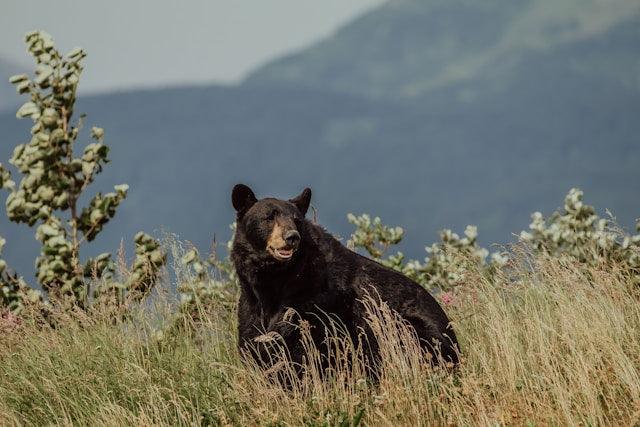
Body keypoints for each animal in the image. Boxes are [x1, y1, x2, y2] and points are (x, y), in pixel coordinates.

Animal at [230, 184, 459, 378]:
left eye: (296, 220)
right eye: (269, 217)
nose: (292, 236)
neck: (275, 280)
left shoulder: (315, 300)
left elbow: (301, 345)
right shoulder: (251, 304)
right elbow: (254, 340)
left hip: (408, 329)